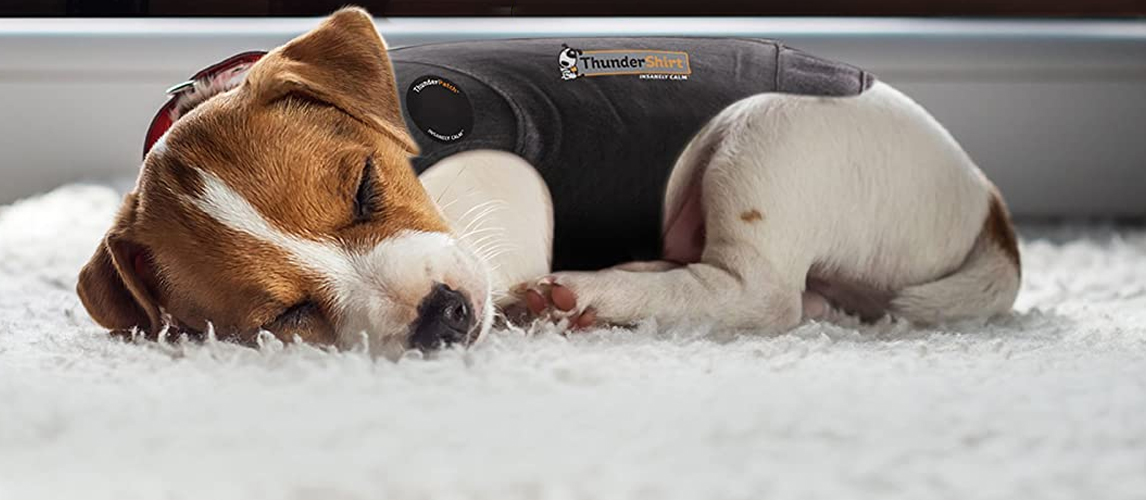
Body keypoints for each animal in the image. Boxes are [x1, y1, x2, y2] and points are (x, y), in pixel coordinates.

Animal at [73, 8, 1022, 360]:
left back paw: (592, 292)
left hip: (766, 138)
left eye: (365, 189)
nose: (445, 315)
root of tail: (988, 204)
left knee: (760, 295)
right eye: (286, 315)